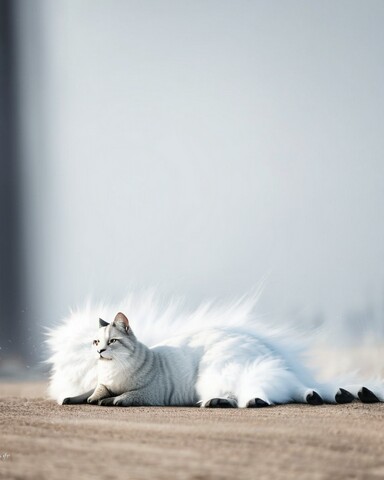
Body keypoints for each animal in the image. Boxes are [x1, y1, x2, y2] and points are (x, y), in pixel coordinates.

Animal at [46, 292, 382, 408]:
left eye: (111, 342)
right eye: (95, 342)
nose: (98, 352)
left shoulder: (149, 392)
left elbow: (125, 396)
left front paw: (110, 400)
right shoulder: (100, 382)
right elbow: (91, 392)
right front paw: (79, 398)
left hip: (217, 373)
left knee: (259, 394)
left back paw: (241, 402)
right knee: (292, 389)